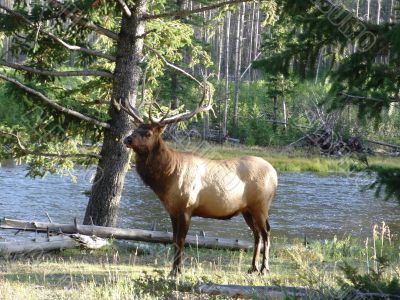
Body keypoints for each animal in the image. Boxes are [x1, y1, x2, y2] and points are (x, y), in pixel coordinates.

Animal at [119, 92, 278, 276]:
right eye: (135, 128)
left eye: (148, 133)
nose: (127, 139)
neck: (166, 179)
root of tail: (275, 174)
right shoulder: (172, 210)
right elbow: (174, 240)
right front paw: (174, 269)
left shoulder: (187, 207)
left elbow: (181, 240)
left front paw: (177, 271)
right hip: (247, 209)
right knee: (256, 234)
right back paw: (252, 268)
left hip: (261, 204)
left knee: (266, 233)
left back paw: (264, 269)